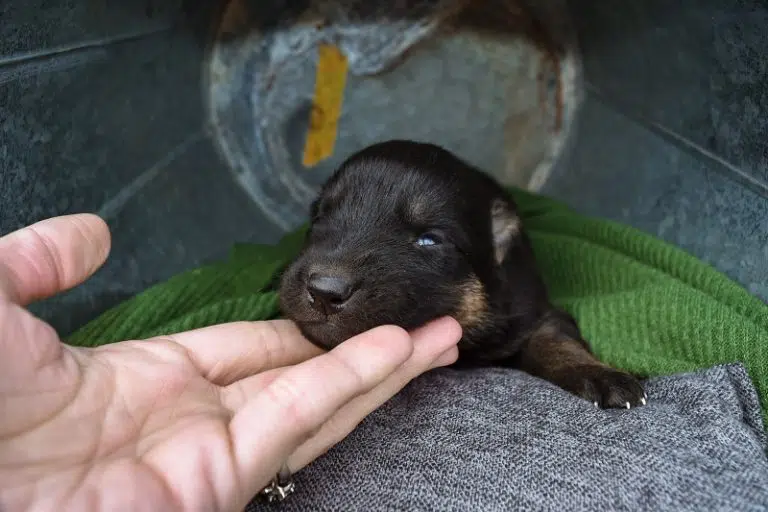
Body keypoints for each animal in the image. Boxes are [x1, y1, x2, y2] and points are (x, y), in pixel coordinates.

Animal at [280, 139, 644, 408]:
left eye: (429, 240)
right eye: (319, 217)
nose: (324, 291)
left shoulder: (533, 308)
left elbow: (555, 338)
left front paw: (601, 375)